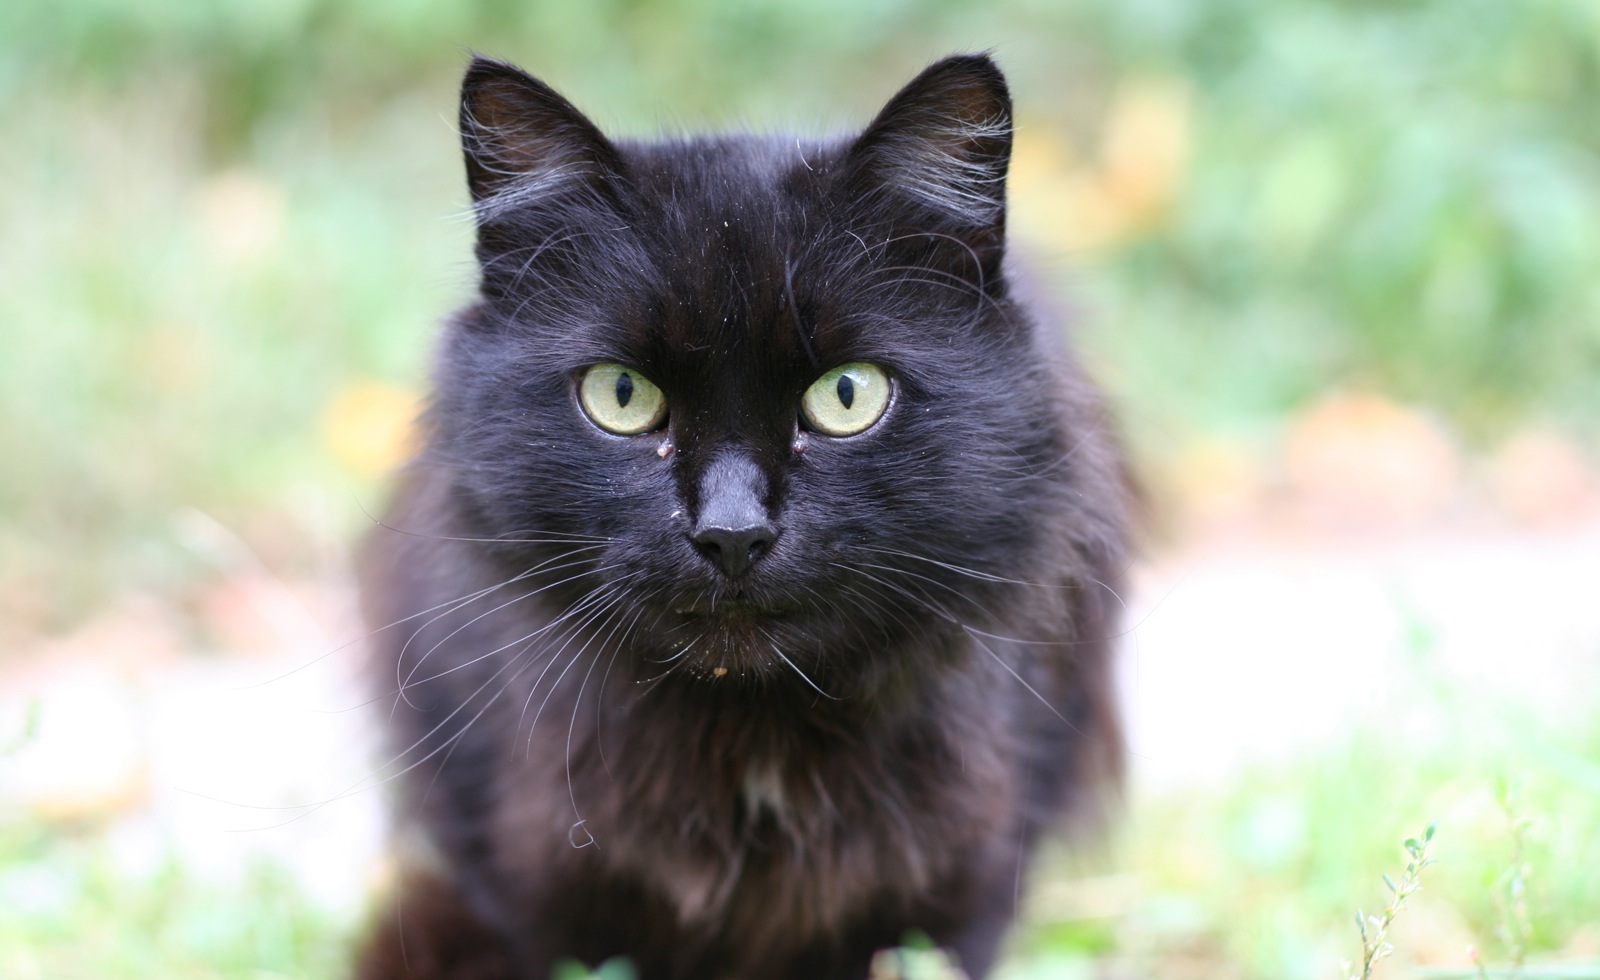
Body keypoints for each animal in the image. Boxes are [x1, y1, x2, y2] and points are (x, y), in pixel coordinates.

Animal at [360, 53, 1139, 980]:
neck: (754, 747)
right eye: (620, 395)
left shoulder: (968, 884)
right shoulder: (537, 888)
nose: (731, 533)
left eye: (848, 395)